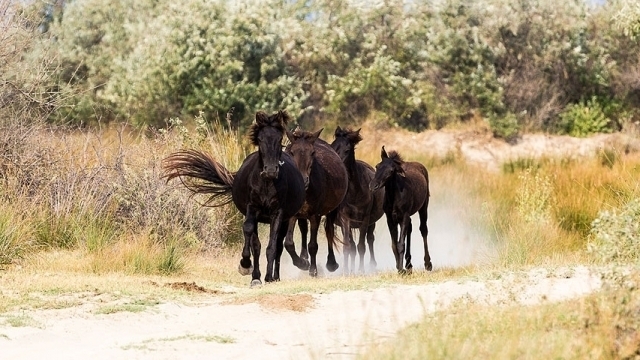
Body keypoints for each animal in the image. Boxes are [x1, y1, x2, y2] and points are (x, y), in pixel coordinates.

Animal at [162, 110, 308, 286]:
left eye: (279, 139)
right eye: (260, 139)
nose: (271, 171)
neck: (266, 183)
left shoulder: (278, 213)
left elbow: (272, 246)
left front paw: (267, 277)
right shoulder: (252, 208)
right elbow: (250, 234)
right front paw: (246, 267)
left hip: (286, 218)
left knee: (278, 245)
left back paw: (274, 277)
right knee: (257, 244)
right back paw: (257, 276)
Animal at [282, 128, 348, 278]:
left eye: (312, 153)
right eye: (291, 152)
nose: (303, 180)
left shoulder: (315, 215)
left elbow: (313, 245)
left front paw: (313, 270)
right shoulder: (293, 213)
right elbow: (288, 243)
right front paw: (302, 263)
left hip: (332, 210)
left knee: (329, 231)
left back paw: (331, 264)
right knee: (303, 229)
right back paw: (304, 257)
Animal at [332, 126, 382, 272]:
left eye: (347, 150)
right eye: (332, 147)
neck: (354, 192)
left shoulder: (365, 219)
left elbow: (361, 246)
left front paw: (361, 270)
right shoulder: (345, 218)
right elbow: (348, 246)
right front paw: (346, 270)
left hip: (371, 221)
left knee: (370, 239)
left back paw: (372, 265)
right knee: (352, 245)